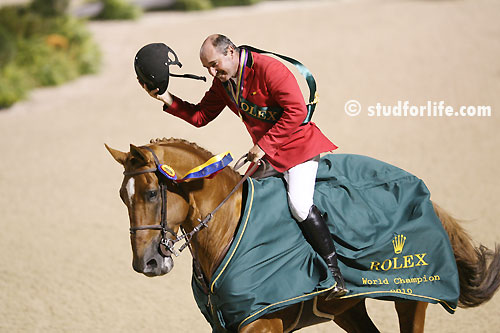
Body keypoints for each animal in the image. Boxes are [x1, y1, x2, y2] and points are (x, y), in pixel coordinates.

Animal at [105, 137, 500, 330]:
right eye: (122, 196)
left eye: (151, 194)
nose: (146, 263)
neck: (226, 228)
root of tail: (423, 192)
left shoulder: (262, 325)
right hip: (348, 310)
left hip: (411, 295)